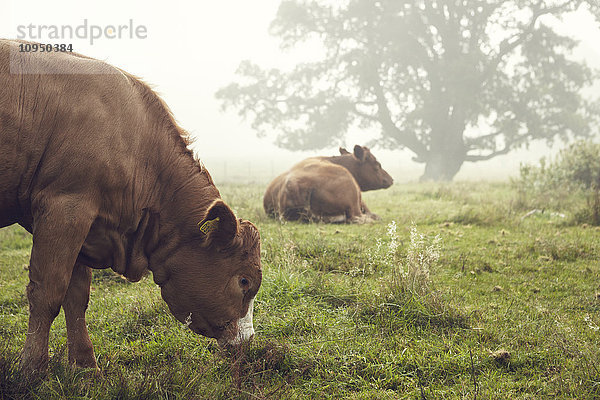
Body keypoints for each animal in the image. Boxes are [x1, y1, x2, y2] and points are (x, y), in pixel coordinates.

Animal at [0, 39, 262, 374]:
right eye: (244, 281)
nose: (247, 341)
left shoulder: (84, 221)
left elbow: (77, 296)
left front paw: (85, 367)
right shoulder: (65, 208)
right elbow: (48, 292)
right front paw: (31, 368)